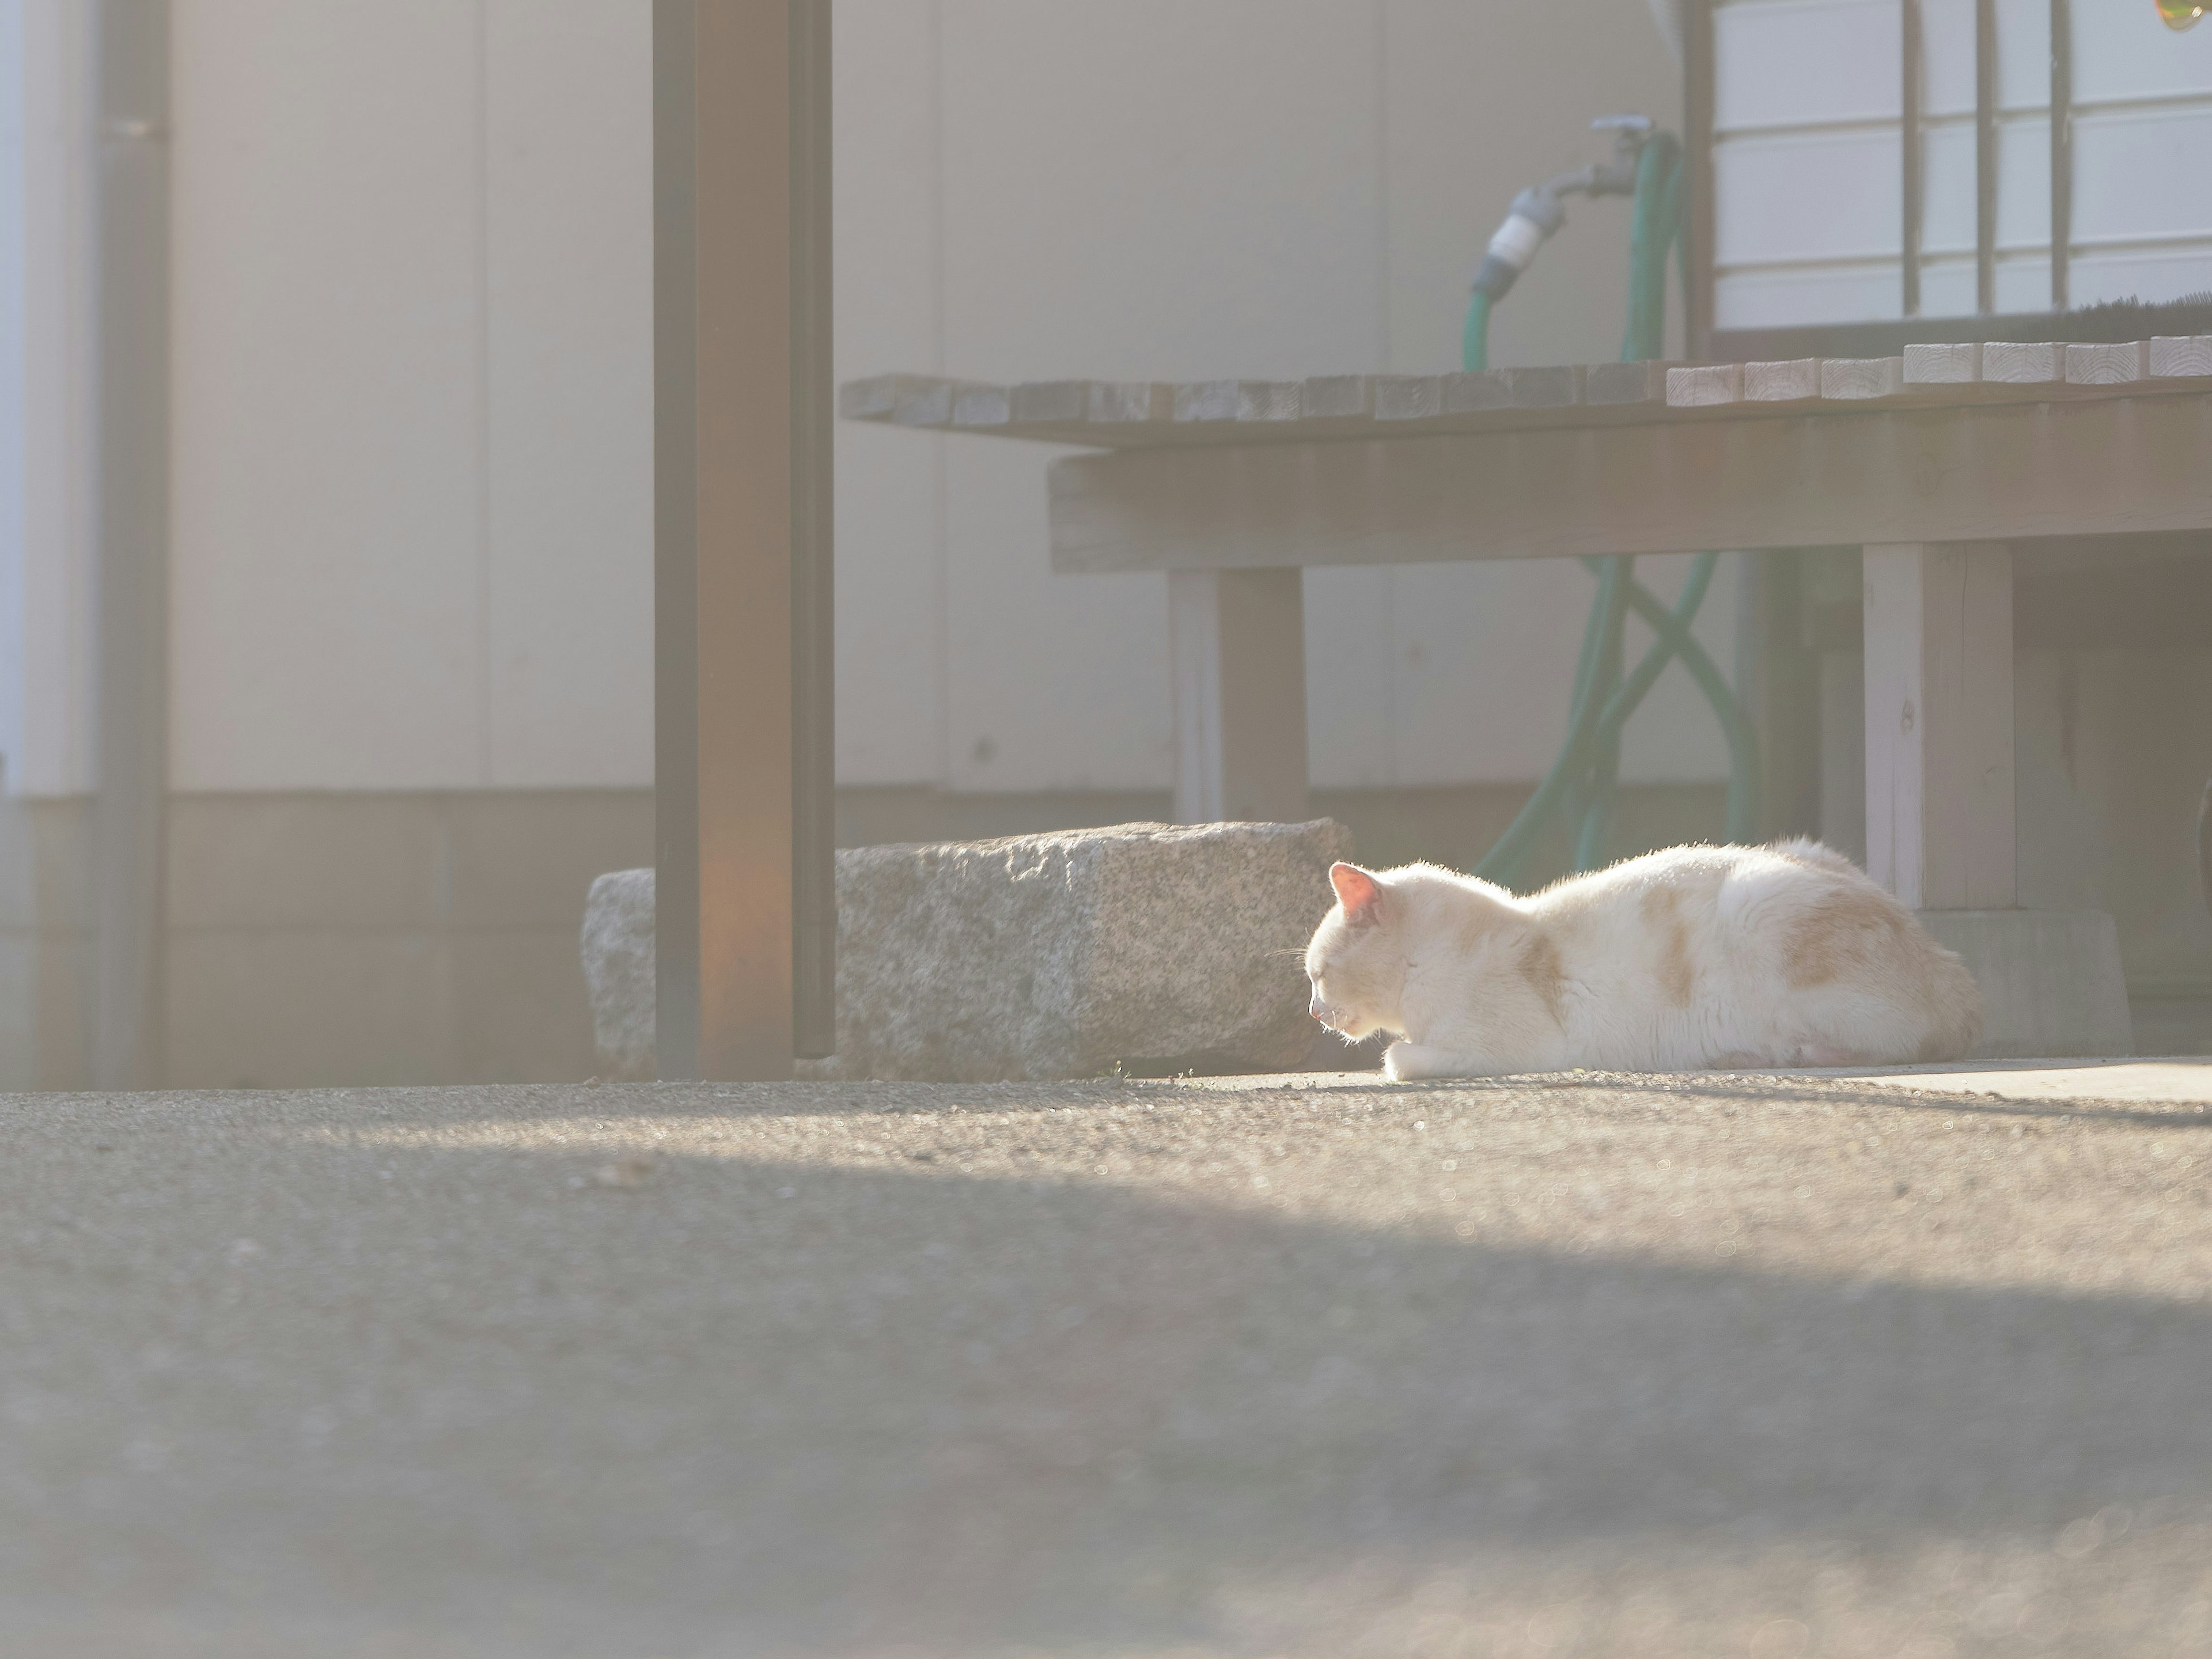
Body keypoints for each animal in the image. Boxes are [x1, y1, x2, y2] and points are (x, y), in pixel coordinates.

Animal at [1300, 844, 1982, 1079]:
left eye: (1318, 975)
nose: (1311, 1011)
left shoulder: (1507, 1046)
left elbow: (1397, 1059)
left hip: (1758, 905)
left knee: (1902, 1046)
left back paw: (1784, 1055)